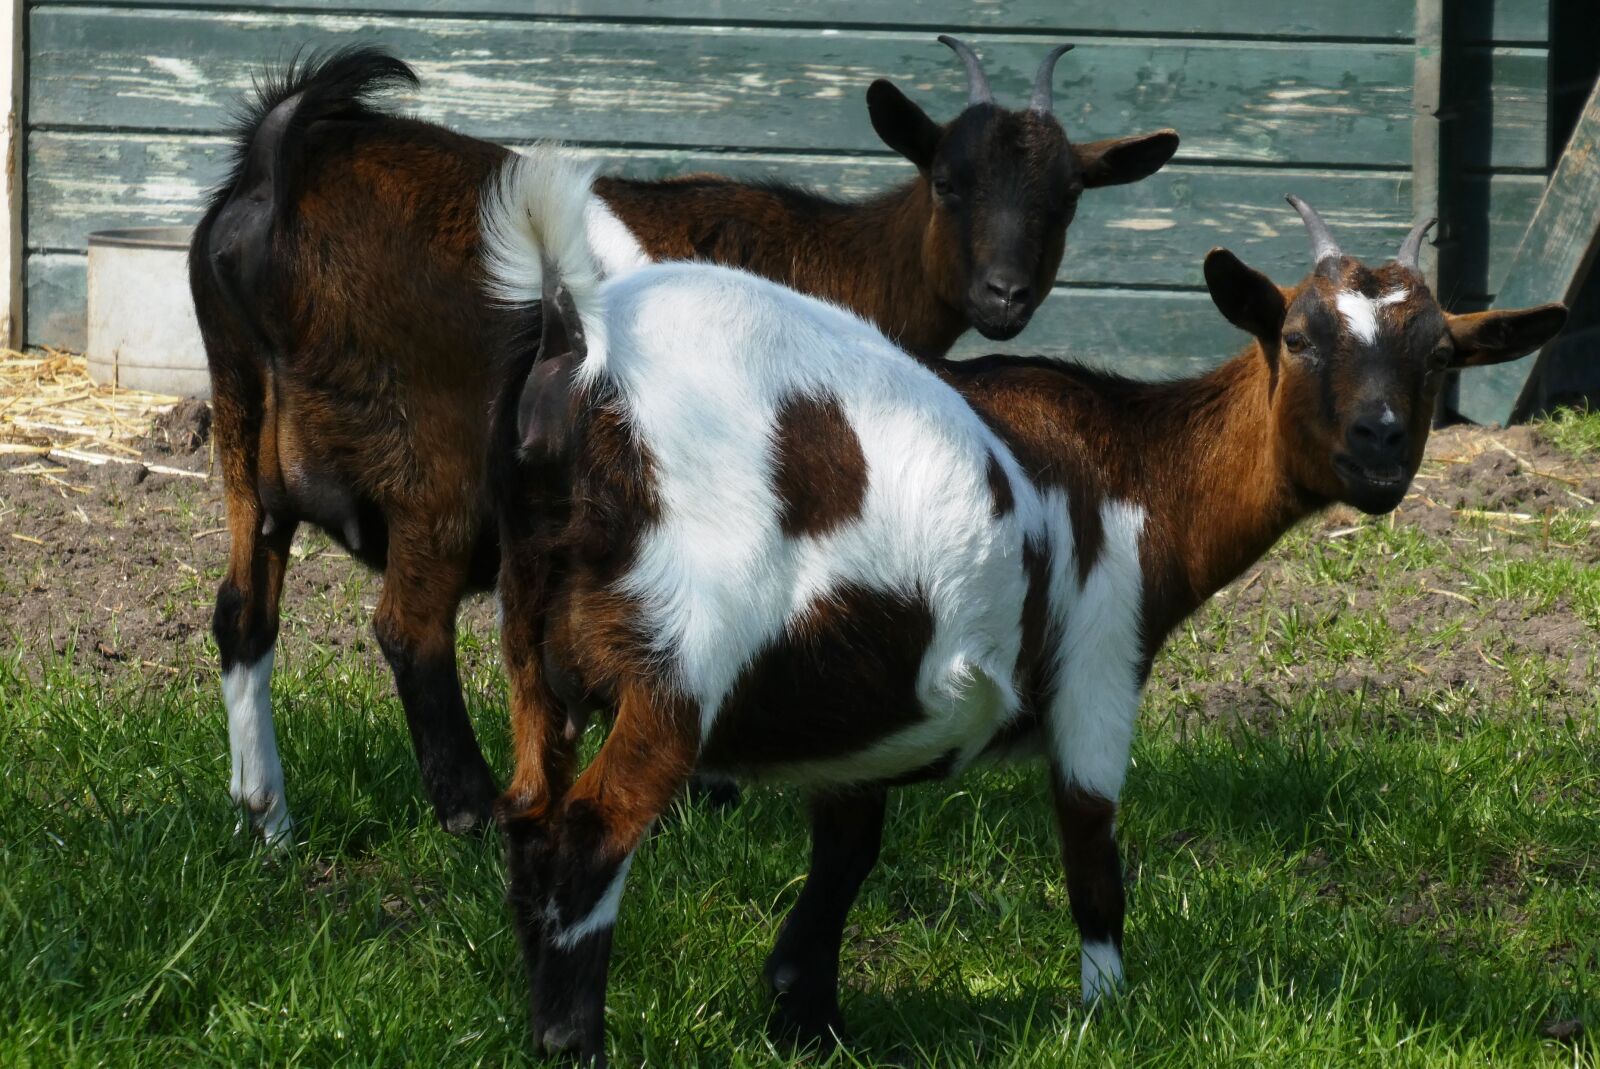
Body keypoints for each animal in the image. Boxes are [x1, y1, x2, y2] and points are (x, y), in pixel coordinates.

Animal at [190, 43, 1179, 844]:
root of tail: (277, 177)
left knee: (243, 610)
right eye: (947, 180)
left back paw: (266, 817)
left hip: (243, 432)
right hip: (433, 460)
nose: (1005, 294)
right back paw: (468, 809)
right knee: (408, 629)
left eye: (1067, 199)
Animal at [483, 147, 1569, 1062]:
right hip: (682, 658)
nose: (1380, 443)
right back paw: (574, 1042)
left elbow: (847, 852)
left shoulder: (862, 710)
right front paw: (1108, 1016)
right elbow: (1093, 854)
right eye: (1298, 337)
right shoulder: (1099, 661)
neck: (1135, 466)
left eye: (1438, 355)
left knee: (529, 818)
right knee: (592, 833)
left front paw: (807, 1018)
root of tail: (587, 365)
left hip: (530, 647)